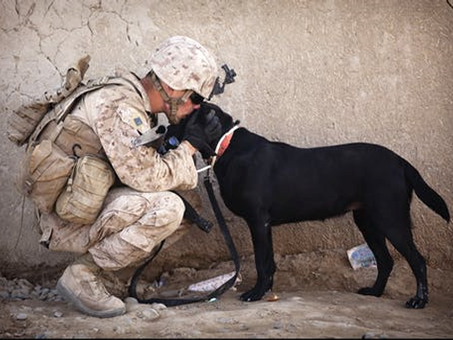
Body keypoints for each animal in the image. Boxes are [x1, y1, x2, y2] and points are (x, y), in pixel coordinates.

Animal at [171, 103, 446, 308]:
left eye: (184, 116)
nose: (164, 128)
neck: (227, 145)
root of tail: (400, 161)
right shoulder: (264, 225)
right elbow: (269, 262)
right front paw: (265, 291)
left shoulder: (258, 221)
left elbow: (262, 262)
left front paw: (256, 293)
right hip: (367, 221)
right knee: (386, 261)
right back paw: (375, 292)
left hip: (390, 219)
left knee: (417, 261)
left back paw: (419, 301)